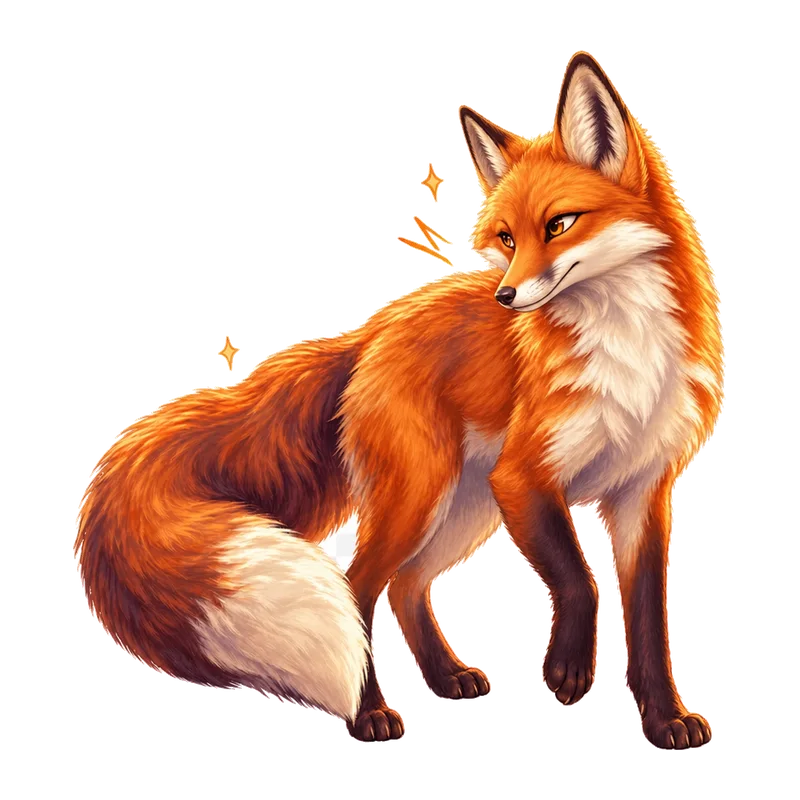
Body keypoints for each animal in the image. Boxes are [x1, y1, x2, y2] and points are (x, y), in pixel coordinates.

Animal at [74, 51, 723, 748]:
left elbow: (650, 622)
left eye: (559, 225)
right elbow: (581, 583)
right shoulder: (525, 476)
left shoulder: (641, 491)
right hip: (428, 494)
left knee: (406, 585)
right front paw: (568, 669)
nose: (505, 297)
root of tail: (371, 329)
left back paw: (445, 678)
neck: (627, 351)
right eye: (506, 238)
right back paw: (368, 714)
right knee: (357, 587)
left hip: (464, 506)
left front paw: (665, 719)